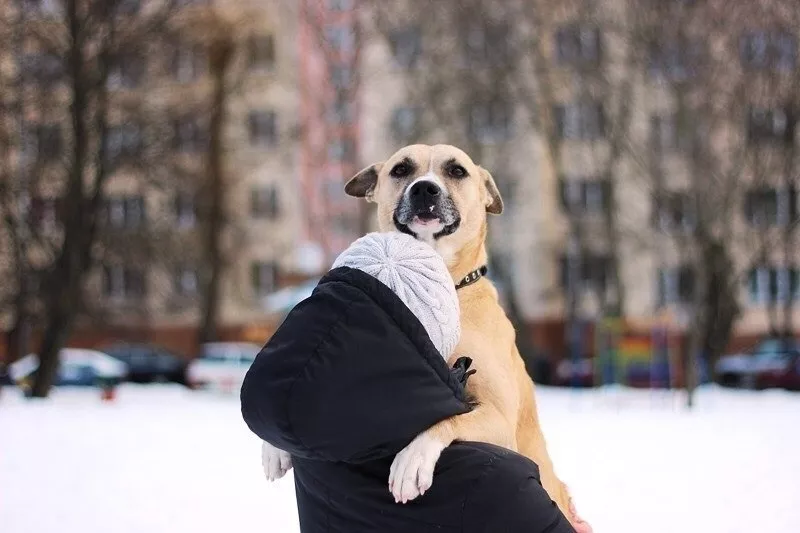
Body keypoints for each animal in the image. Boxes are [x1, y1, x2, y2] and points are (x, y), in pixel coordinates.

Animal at [344, 143, 588, 528]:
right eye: (401, 169)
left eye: (457, 171)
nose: (424, 189)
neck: (448, 286)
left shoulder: (499, 417)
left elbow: (450, 418)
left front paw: (413, 459)